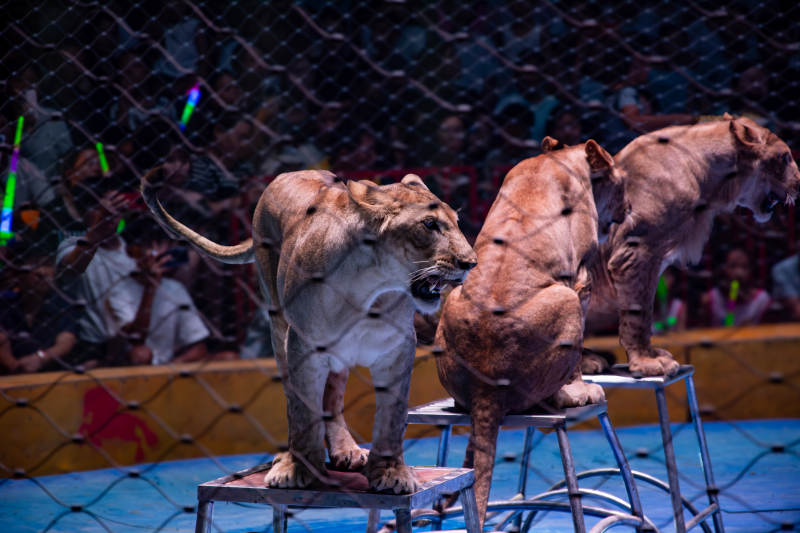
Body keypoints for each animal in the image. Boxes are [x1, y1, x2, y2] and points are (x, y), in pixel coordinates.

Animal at [141, 169, 476, 493]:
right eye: (430, 224)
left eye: (456, 222)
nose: (470, 262)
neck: (370, 287)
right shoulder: (303, 345)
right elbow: (303, 408)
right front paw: (298, 469)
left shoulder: (396, 349)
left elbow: (392, 416)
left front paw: (391, 473)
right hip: (278, 320)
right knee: (293, 392)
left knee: (332, 396)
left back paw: (346, 451)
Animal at [434, 138, 626, 524]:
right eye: (622, 183)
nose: (629, 207)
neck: (560, 158)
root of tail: (487, 384)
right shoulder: (580, 279)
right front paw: (581, 388)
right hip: (565, 299)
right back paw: (569, 396)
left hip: (451, 297)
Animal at [584, 115, 800, 376]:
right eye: (785, 157)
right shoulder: (636, 250)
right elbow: (639, 313)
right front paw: (646, 361)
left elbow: (644, 310)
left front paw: (651, 354)